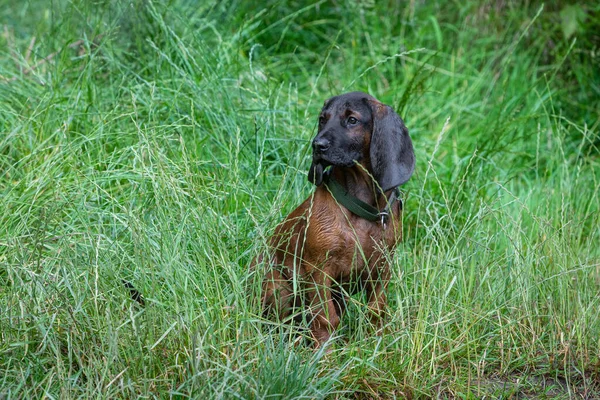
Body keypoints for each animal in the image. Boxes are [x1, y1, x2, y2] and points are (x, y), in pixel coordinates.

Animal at [255, 90, 414, 346]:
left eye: (352, 120)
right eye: (322, 119)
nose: (317, 145)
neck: (360, 210)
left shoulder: (382, 268)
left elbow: (376, 311)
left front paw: (376, 345)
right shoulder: (319, 271)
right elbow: (325, 319)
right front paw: (324, 353)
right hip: (279, 289)